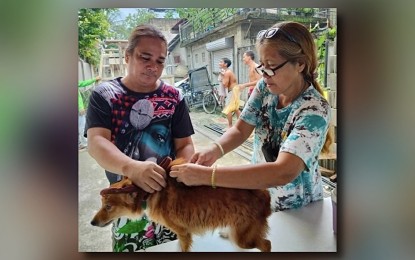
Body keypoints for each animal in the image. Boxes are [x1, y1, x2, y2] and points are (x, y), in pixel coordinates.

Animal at [91, 157, 272, 251]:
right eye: (102, 204)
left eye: (108, 207)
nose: (92, 222)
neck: (149, 194)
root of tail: (264, 195)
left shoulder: (184, 233)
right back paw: (226, 233)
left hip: (243, 239)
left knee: (266, 244)